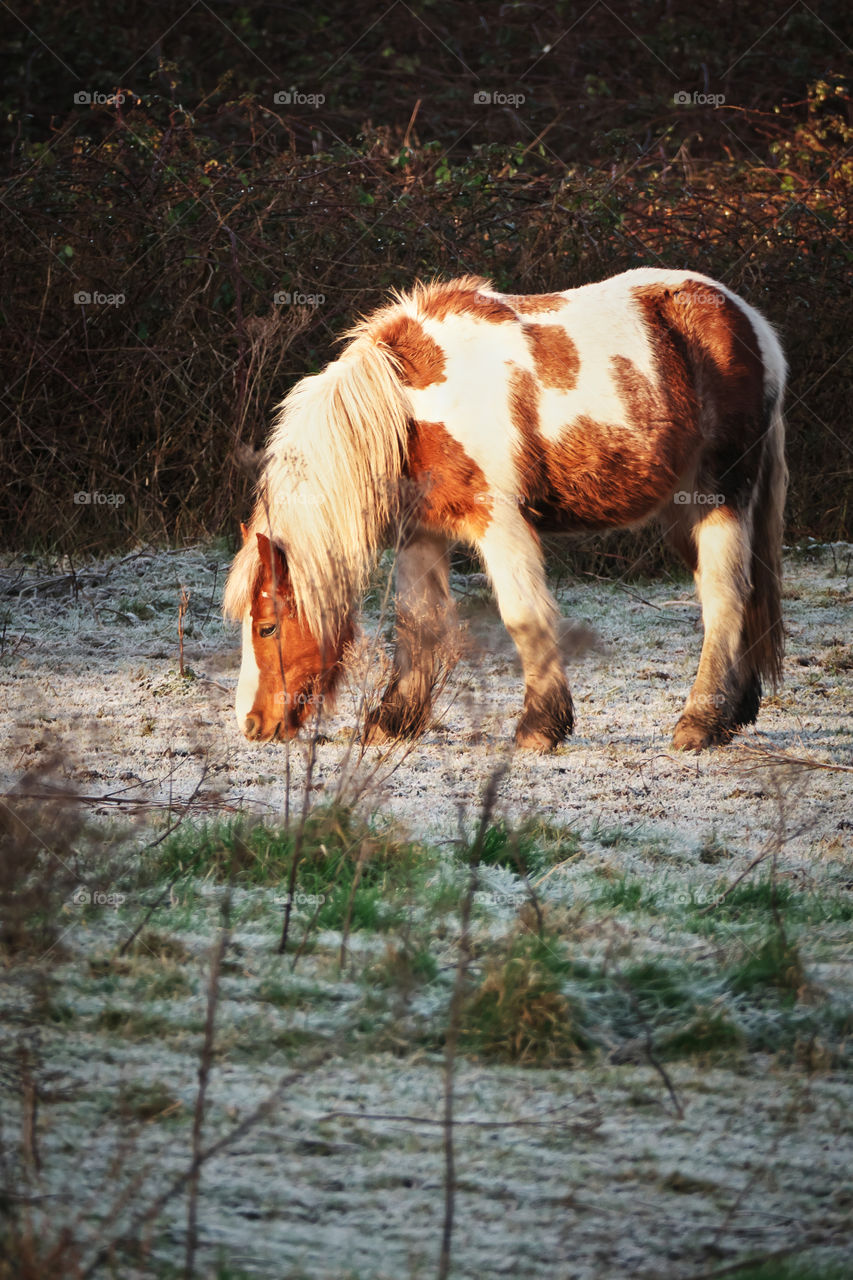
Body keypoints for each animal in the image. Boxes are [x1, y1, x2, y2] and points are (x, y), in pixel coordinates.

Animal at [223, 268, 787, 752]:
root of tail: (750, 322)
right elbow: (418, 621)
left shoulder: (498, 521)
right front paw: (392, 722)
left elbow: (523, 617)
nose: (251, 724)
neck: (410, 406)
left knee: (725, 597)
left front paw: (540, 727)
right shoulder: (420, 530)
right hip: (682, 511)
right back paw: (732, 713)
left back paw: (701, 723)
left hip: (721, 497)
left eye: (267, 626)